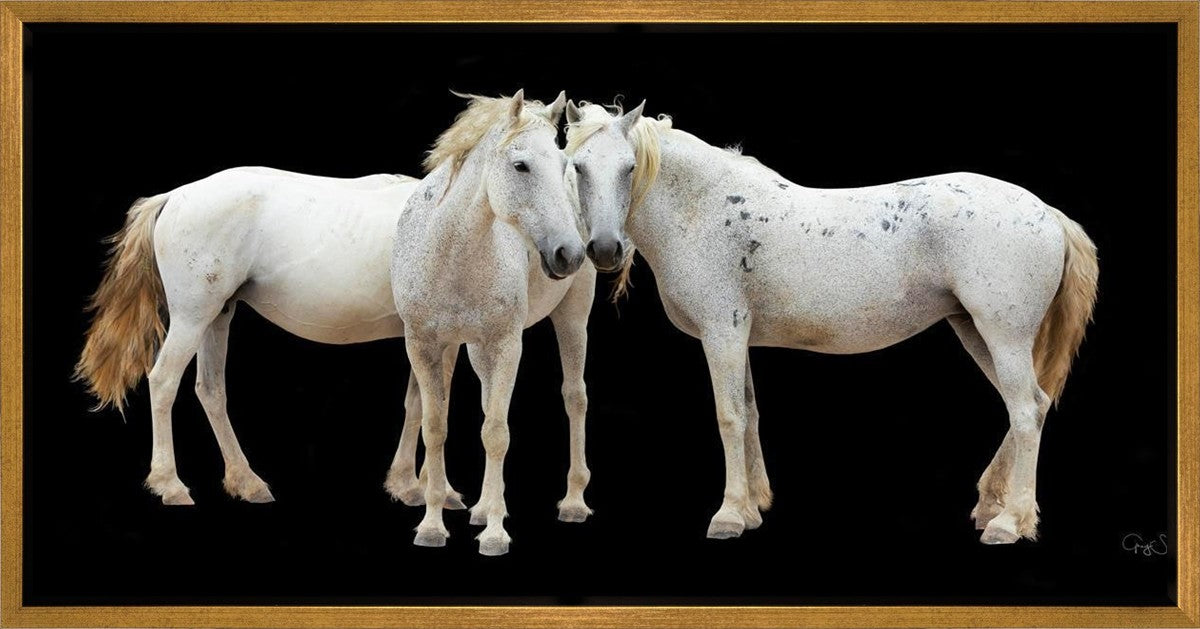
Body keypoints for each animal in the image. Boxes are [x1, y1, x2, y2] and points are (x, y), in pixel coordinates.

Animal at [74, 92, 603, 536]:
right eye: (521, 165)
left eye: (565, 165)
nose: (570, 254)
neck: (443, 229)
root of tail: (176, 195)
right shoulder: (432, 336)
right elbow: (433, 407)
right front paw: (428, 491)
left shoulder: (444, 338)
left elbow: (422, 404)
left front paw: (417, 487)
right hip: (190, 317)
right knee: (163, 381)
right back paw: (170, 484)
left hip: (217, 316)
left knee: (210, 391)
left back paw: (247, 482)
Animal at [563, 100, 1098, 545]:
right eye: (577, 166)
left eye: (630, 168)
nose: (605, 249)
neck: (703, 209)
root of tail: (1047, 213)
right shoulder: (739, 337)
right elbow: (751, 414)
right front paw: (752, 508)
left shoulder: (722, 333)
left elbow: (730, 418)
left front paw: (730, 515)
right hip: (974, 331)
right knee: (1033, 405)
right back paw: (993, 506)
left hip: (1004, 336)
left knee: (1026, 413)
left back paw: (1009, 523)